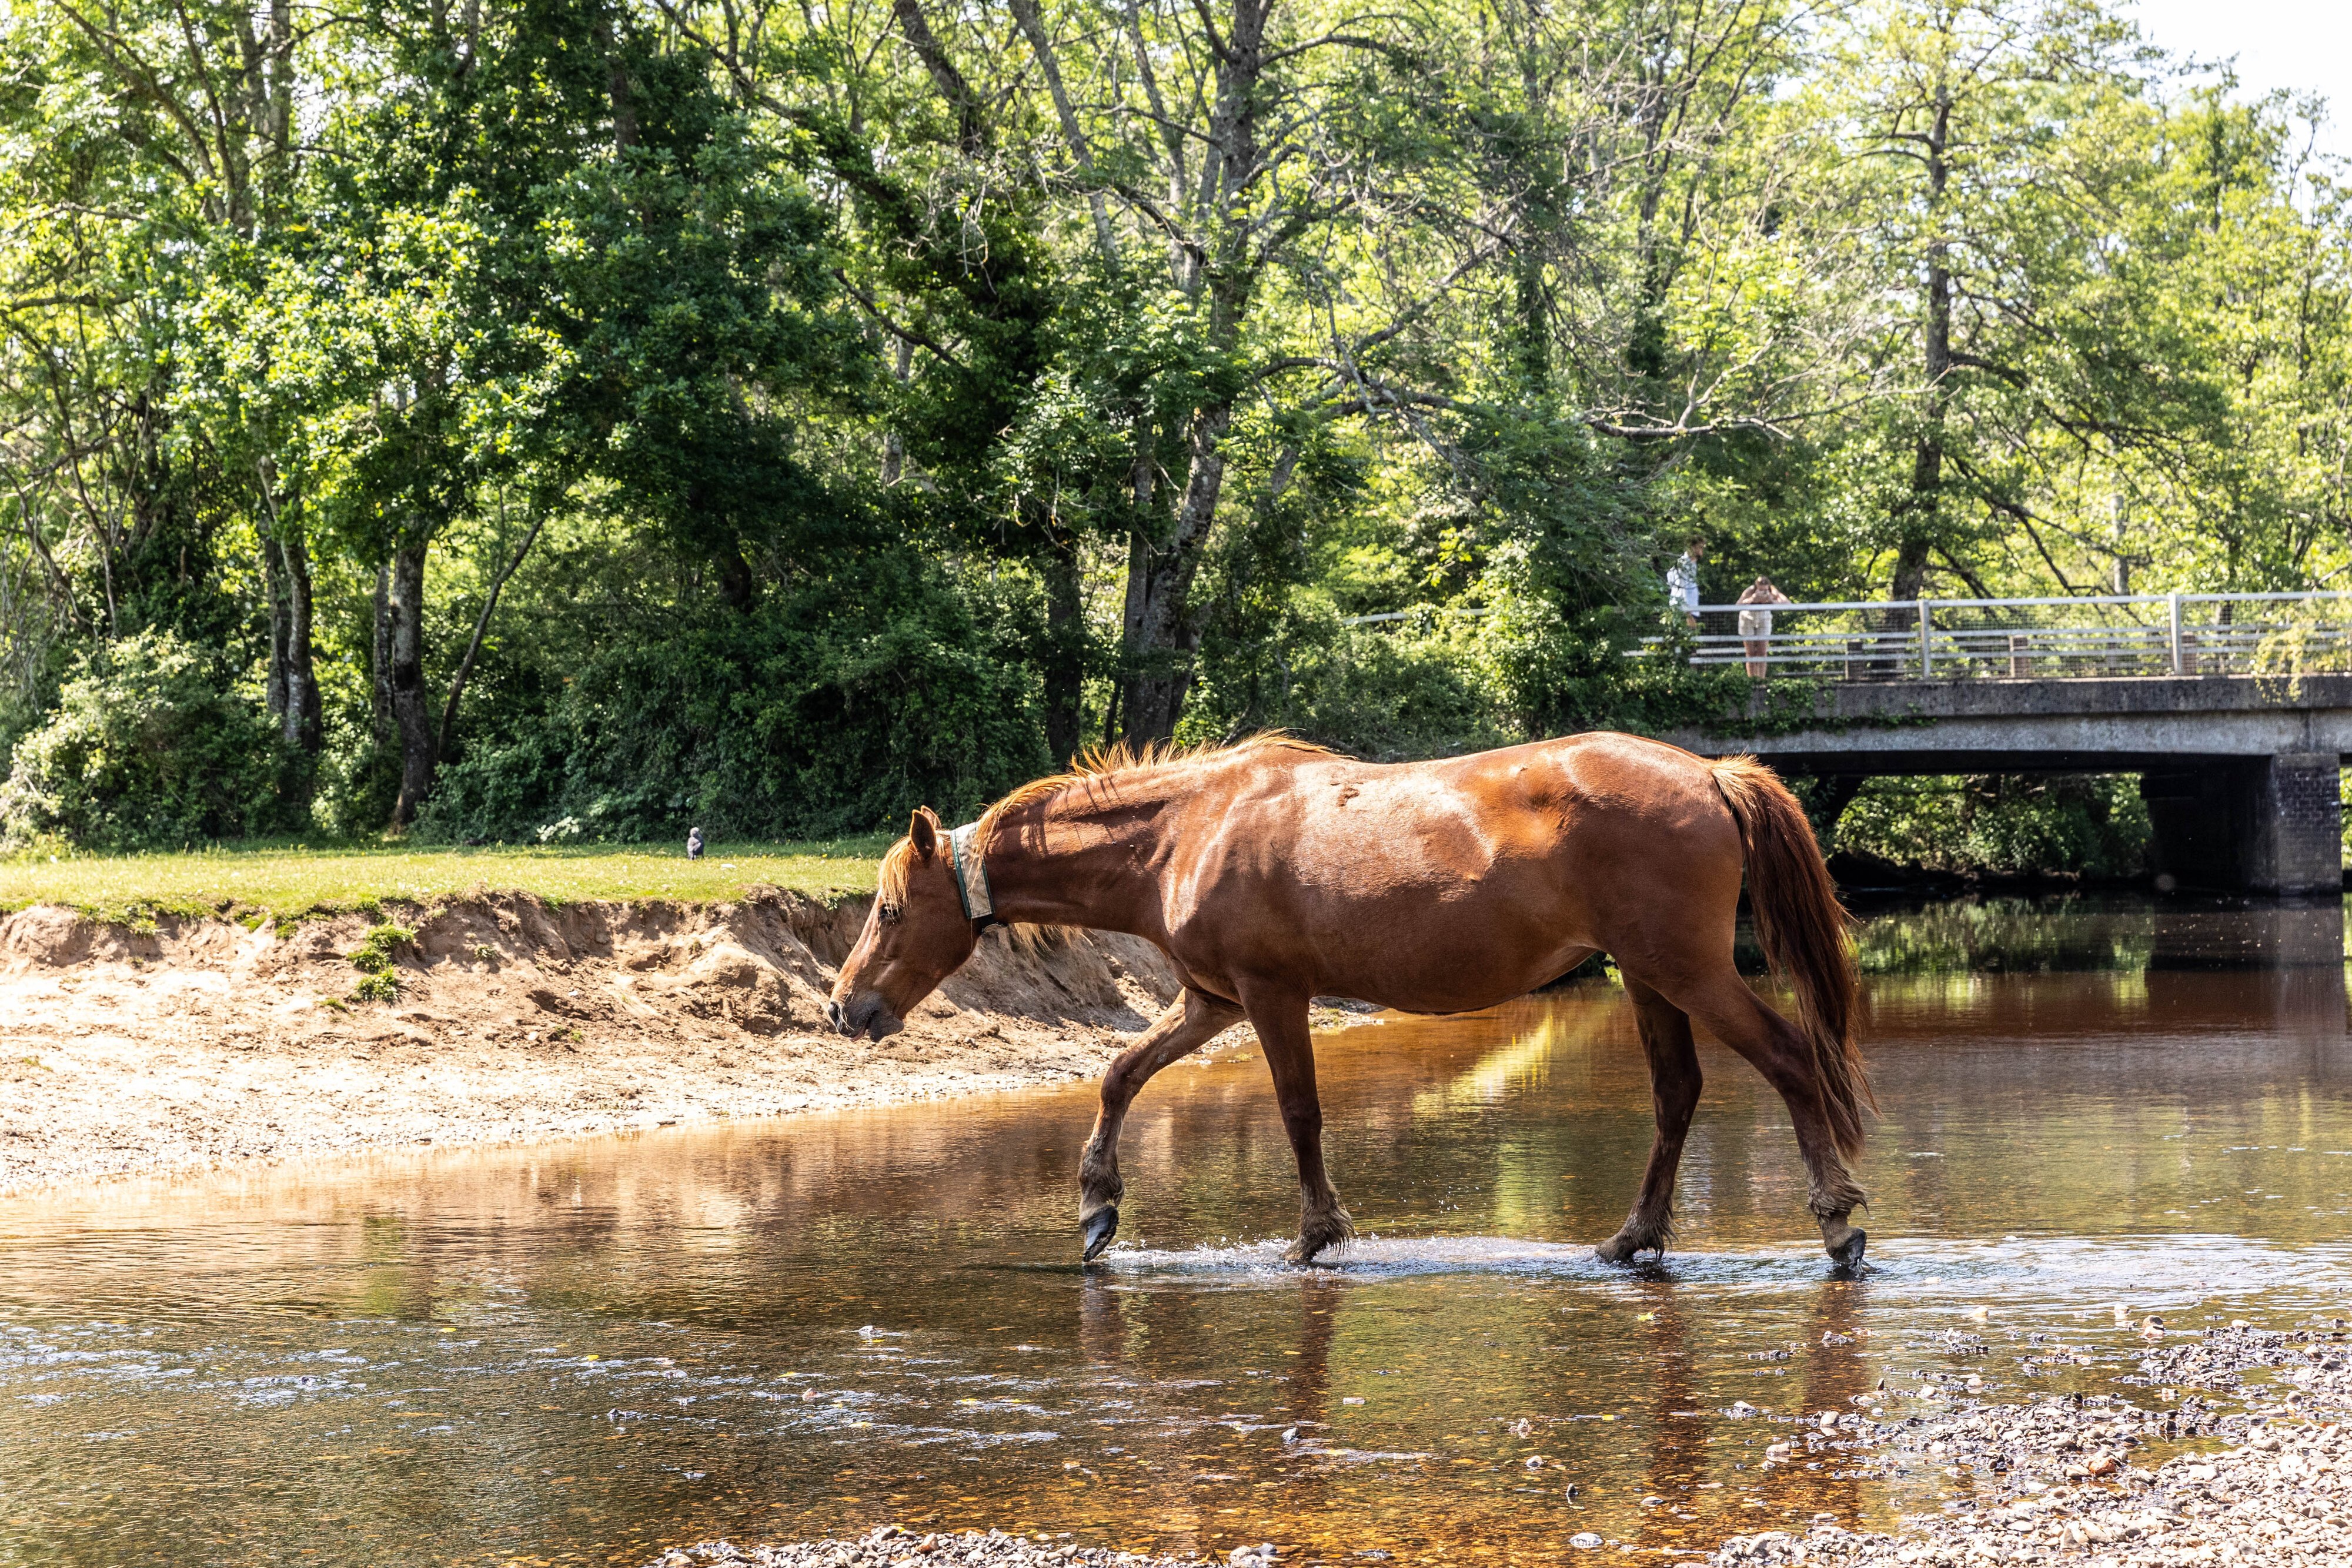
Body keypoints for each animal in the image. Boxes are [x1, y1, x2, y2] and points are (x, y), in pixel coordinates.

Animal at [833, 738, 1872, 1279]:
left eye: (890, 909)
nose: (846, 1006)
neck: (1184, 830)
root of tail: (1709, 771)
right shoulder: (1210, 1000)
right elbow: (1120, 1074)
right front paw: (1097, 1204)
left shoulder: (1267, 995)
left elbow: (1300, 1113)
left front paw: (1315, 1232)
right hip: (1652, 978)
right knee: (1676, 1094)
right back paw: (1633, 1237)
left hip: (1684, 971)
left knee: (1789, 1060)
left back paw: (1837, 1223)